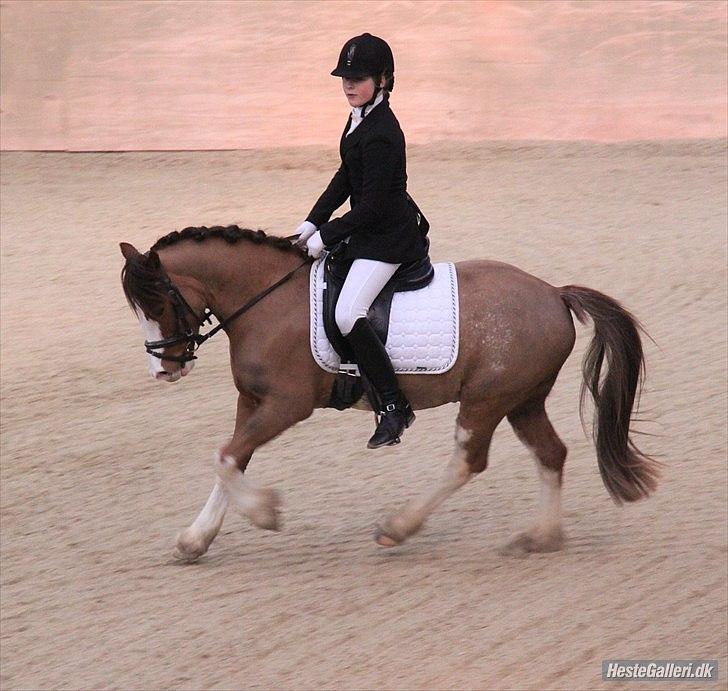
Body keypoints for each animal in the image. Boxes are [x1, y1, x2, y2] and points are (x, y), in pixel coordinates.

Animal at [120, 224, 659, 562]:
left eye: (158, 302)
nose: (162, 369)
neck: (265, 300)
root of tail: (553, 293)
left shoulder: (286, 406)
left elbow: (227, 457)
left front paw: (266, 513)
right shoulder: (252, 402)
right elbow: (231, 459)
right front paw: (194, 541)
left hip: (486, 400)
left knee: (468, 461)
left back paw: (397, 527)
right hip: (522, 400)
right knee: (551, 453)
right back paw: (539, 538)